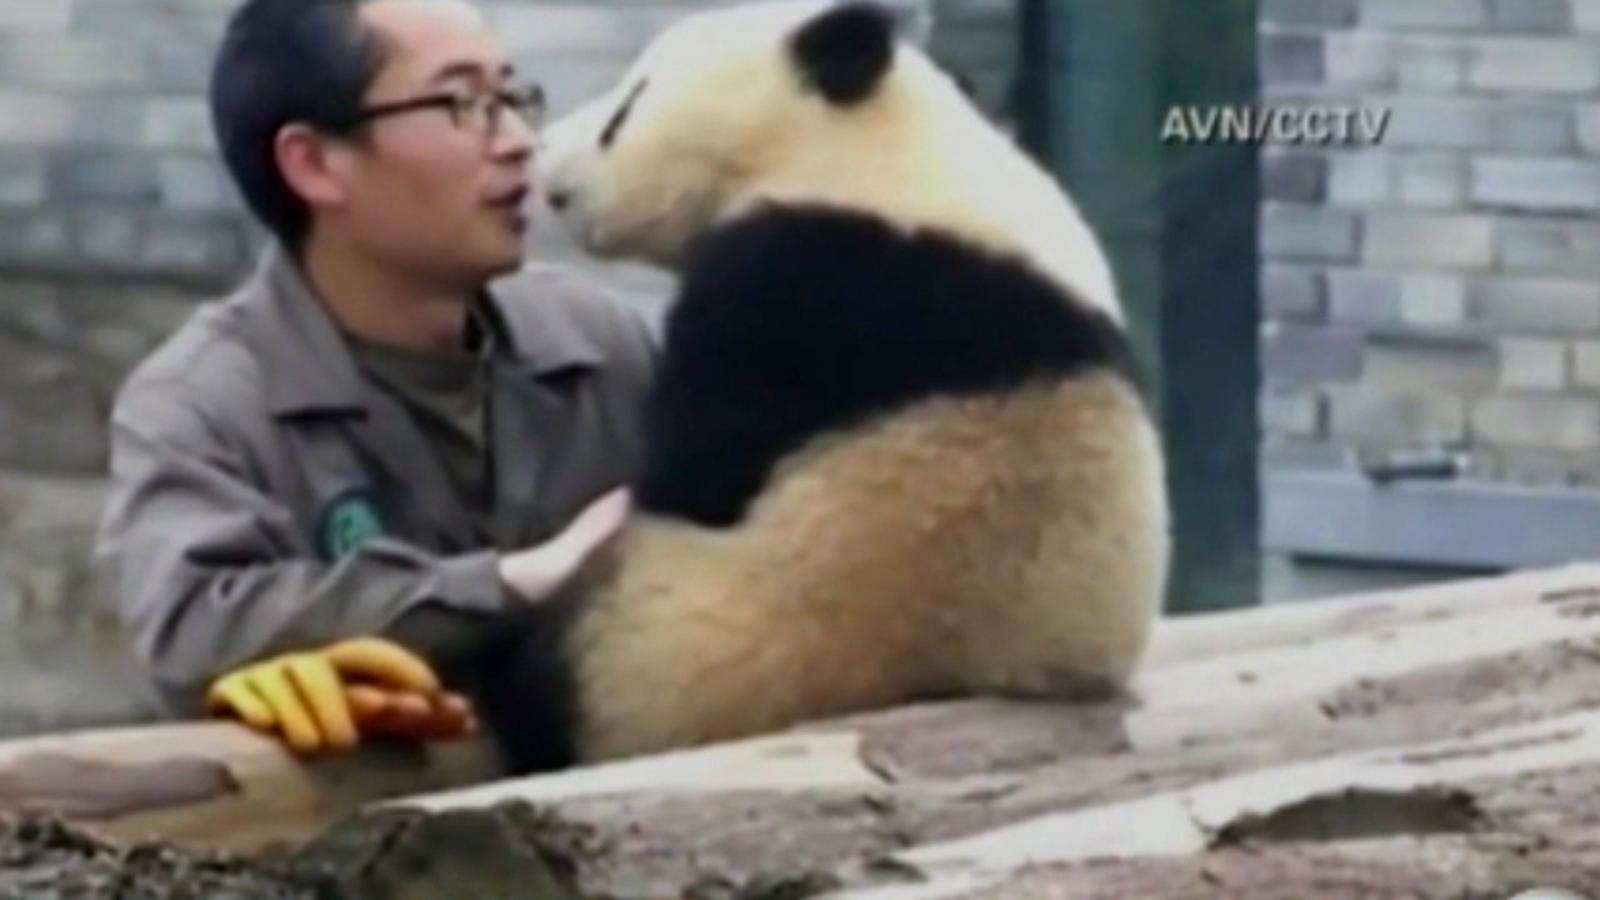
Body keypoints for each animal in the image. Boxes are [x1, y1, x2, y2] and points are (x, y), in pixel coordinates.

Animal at [467, 0, 1171, 771]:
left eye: (625, 110)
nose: (545, 161)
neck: (870, 147)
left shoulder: (809, 281)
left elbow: (697, 466)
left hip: (705, 646)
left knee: (566, 659)